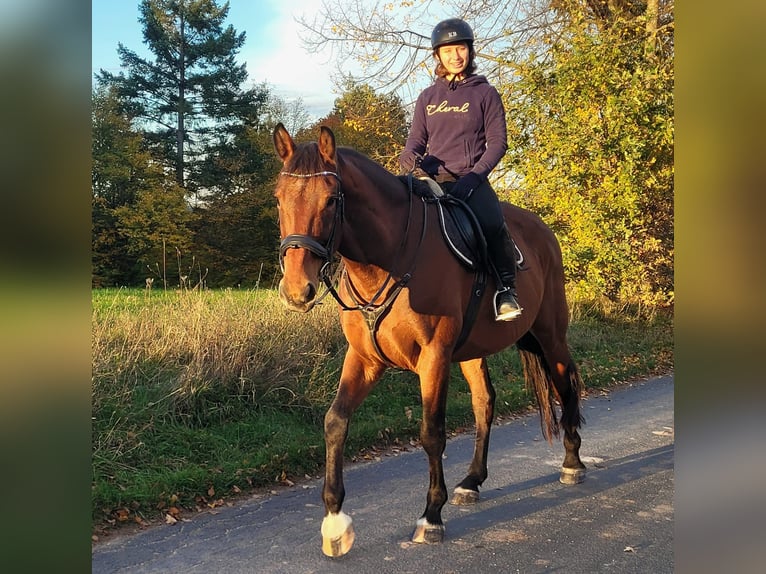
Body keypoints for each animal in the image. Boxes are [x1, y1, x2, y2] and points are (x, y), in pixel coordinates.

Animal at [272, 125, 584, 560]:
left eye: (332, 199)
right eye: (278, 198)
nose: (297, 290)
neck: (388, 260)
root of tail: (543, 231)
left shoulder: (433, 358)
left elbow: (431, 432)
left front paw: (431, 516)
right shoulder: (364, 359)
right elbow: (335, 421)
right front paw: (335, 523)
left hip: (551, 333)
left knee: (565, 383)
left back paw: (572, 462)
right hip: (472, 351)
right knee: (485, 403)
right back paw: (472, 481)